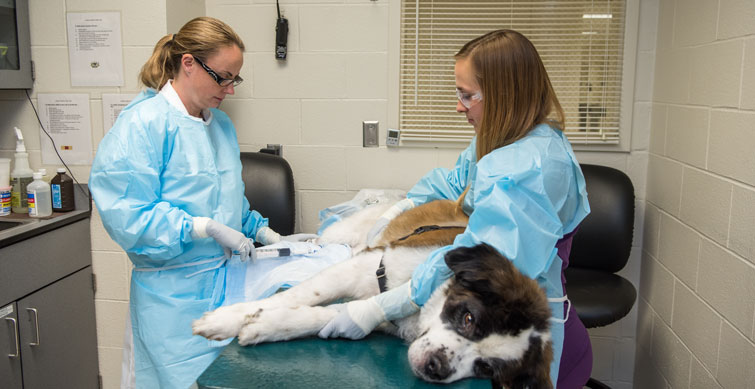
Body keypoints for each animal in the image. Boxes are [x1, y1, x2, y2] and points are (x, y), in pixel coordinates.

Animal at [192, 199, 552, 386]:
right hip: (347, 234)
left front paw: (264, 326)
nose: (436, 366)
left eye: (486, 368)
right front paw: (226, 319)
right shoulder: (356, 271)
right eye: (468, 318)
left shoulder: (373, 311)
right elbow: (296, 296)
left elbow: (325, 316)